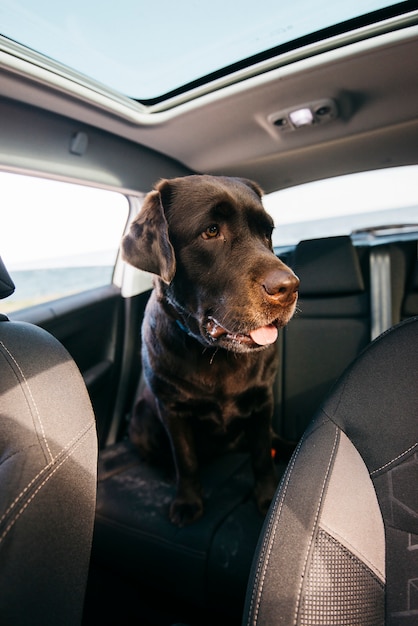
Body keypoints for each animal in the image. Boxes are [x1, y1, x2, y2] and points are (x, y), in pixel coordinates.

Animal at [121, 173, 300, 524]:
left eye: (267, 232)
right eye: (211, 231)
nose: (289, 287)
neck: (216, 356)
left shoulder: (262, 401)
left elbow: (261, 455)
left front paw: (267, 497)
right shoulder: (172, 409)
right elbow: (186, 460)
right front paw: (188, 502)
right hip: (141, 420)